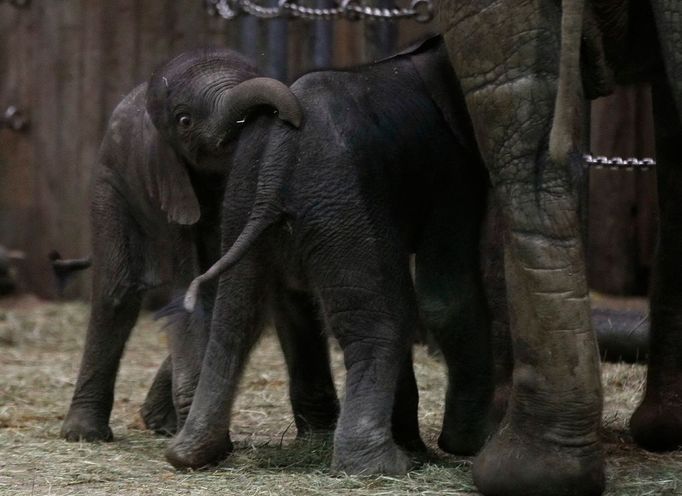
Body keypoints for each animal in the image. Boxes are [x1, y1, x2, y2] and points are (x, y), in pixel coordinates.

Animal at [57, 46, 336, 442]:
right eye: (184, 121)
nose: (290, 119)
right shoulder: (165, 186)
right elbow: (193, 288)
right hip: (109, 187)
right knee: (116, 292)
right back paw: (86, 434)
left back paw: (159, 423)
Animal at [167, 36, 492, 474]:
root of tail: (280, 154)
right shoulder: (452, 171)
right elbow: (447, 295)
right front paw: (466, 446)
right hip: (343, 204)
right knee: (384, 315)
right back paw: (381, 466)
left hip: (245, 199)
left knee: (234, 318)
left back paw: (190, 455)